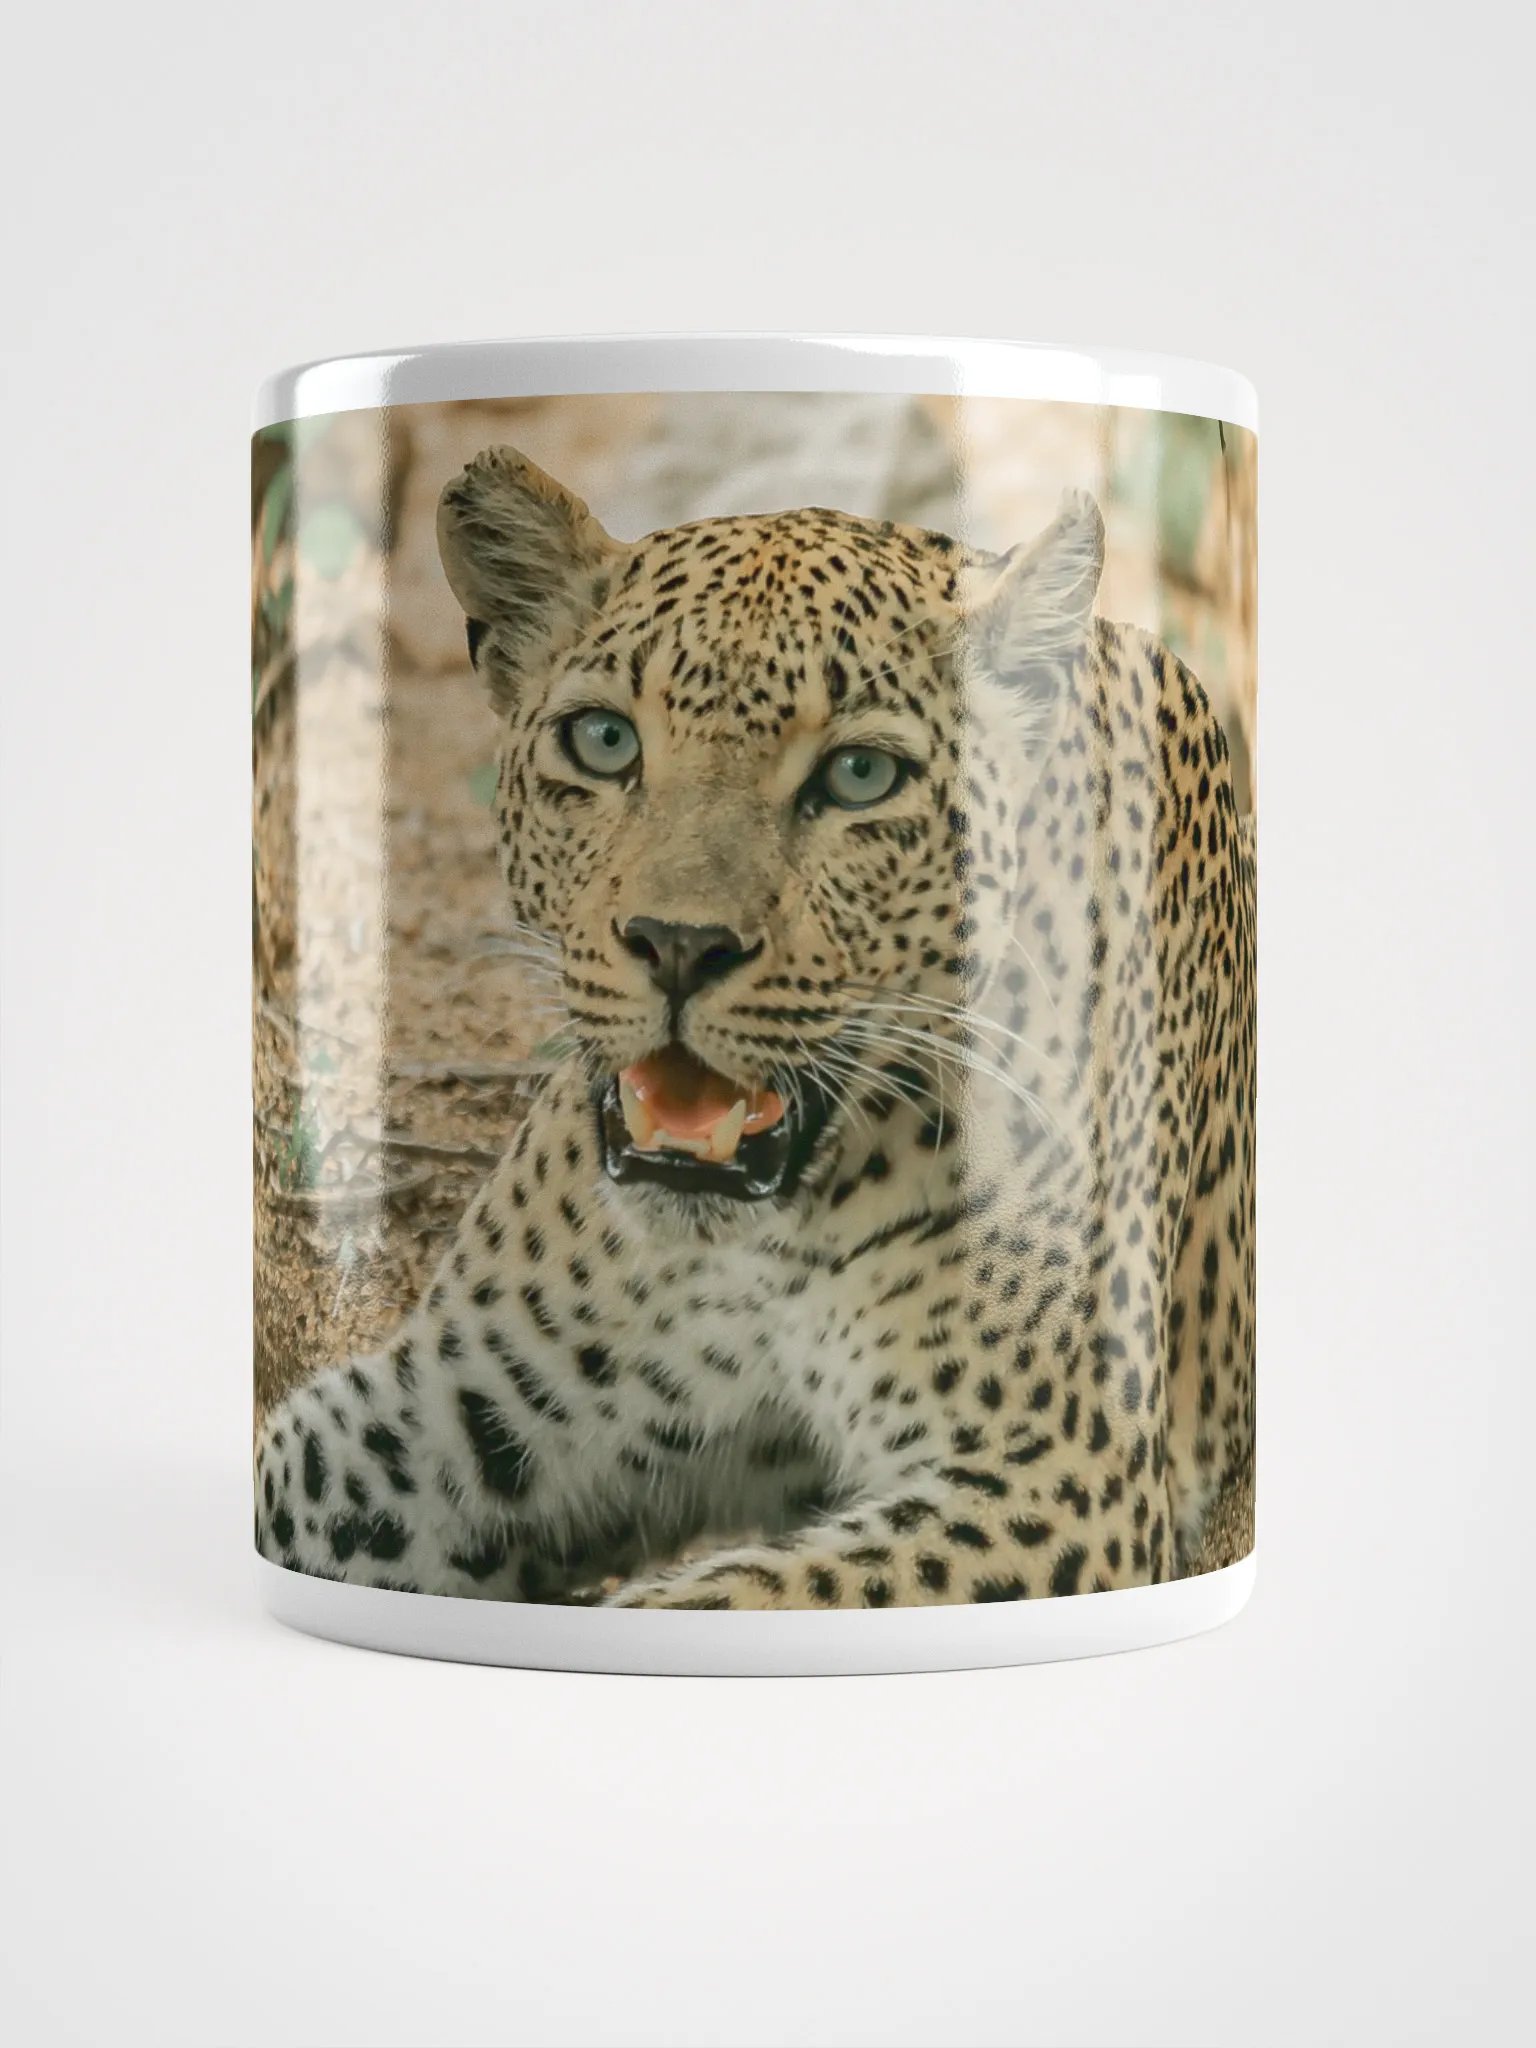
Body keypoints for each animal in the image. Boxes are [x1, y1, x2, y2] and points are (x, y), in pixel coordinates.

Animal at [253, 442, 1256, 1611]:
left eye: (861, 775)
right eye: (604, 741)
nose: (678, 944)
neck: (761, 1244)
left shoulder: (1056, 1475)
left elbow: (727, 1596)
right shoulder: (461, 1401)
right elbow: (289, 1475)